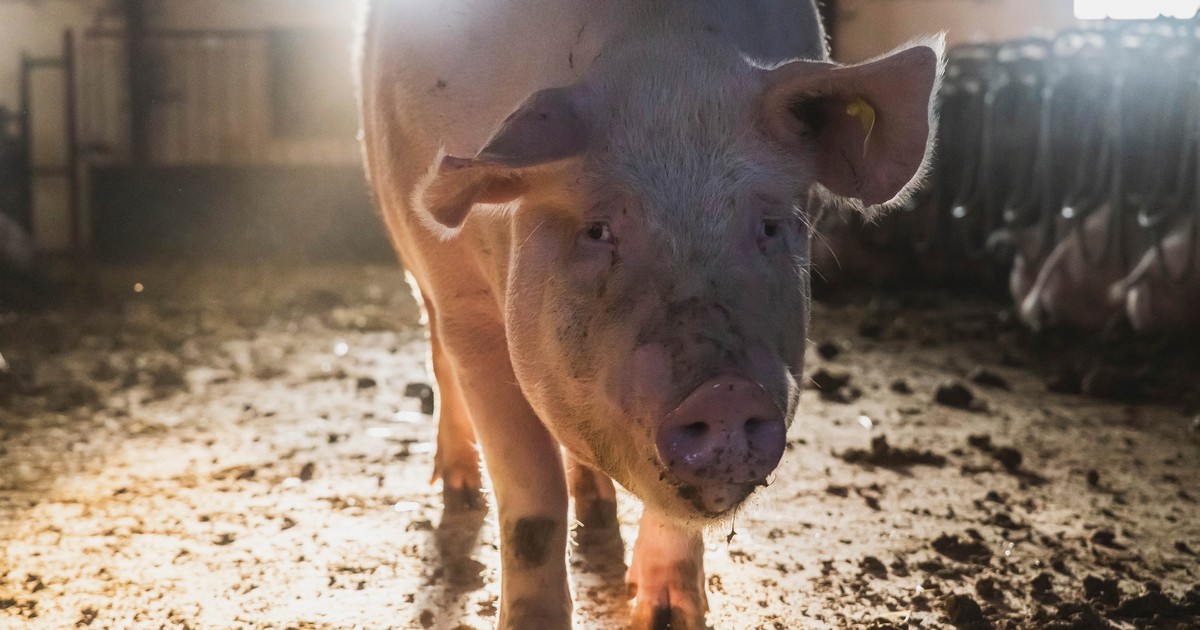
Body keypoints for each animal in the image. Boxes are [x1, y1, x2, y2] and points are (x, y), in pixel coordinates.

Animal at [359, 2, 941, 628]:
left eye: (769, 225)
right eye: (597, 231)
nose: (726, 392)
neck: (662, 50)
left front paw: (666, 615)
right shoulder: (467, 304)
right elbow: (532, 500)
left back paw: (595, 502)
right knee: (438, 356)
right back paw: (460, 491)